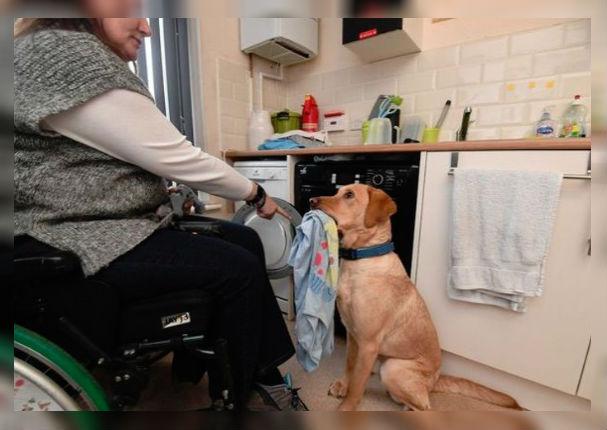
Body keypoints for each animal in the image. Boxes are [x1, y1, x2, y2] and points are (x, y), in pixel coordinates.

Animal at [308, 183, 524, 412]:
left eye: (349, 195)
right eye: (337, 192)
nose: (311, 200)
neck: (361, 259)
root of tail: (435, 381)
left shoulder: (368, 342)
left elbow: (358, 384)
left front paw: (346, 408)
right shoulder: (352, 334)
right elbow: (350, 365)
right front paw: (343, 386)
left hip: (393, 368)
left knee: (424, 406)